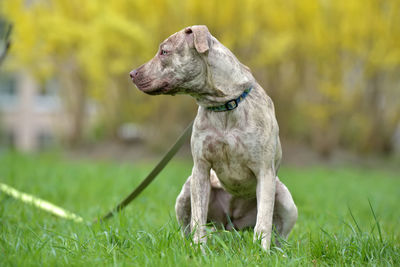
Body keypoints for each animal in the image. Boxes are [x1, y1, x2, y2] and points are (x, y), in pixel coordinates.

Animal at [131, 25, 296, 253]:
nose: (131, 74)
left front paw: (260, 253)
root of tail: (233, 223)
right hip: (185, 194)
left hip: (286, 202)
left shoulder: (265, 171)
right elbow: (198, 219)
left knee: (279, 235)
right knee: (186, 227)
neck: (224, 105)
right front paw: (199, 250)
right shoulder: (200, 169)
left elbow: (263, 221)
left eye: (164, 52)